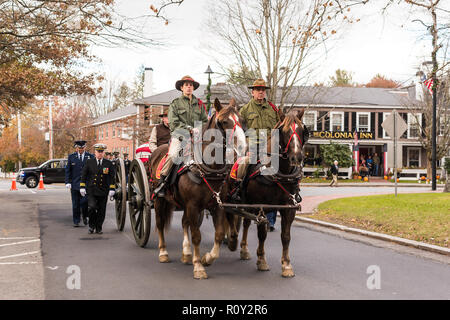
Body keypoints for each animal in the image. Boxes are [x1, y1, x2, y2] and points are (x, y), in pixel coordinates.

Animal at [149, 98, 244, 280]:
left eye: (241, 120)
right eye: (223, 121)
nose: (242, 146)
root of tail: (157, 151)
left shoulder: (216, 206)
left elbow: (218, 234)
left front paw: (207, 258)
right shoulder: (193, 205)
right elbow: (197, 236)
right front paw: (199, 266)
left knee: (184, 222)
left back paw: (186, 253)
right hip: (159, 200)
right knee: (160, 223)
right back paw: (163, 252)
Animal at [227, 109, 308, 278]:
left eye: (302, 130)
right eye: (284, 131)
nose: (296, 157)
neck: (278, 173)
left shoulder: (288, 208)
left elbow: (286, 236)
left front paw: (286, 264)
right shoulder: (261, 207)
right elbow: (262, 234)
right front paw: (262, 260)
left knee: (246, 222)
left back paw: (244, 249)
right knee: (231, 216)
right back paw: (232, 240)